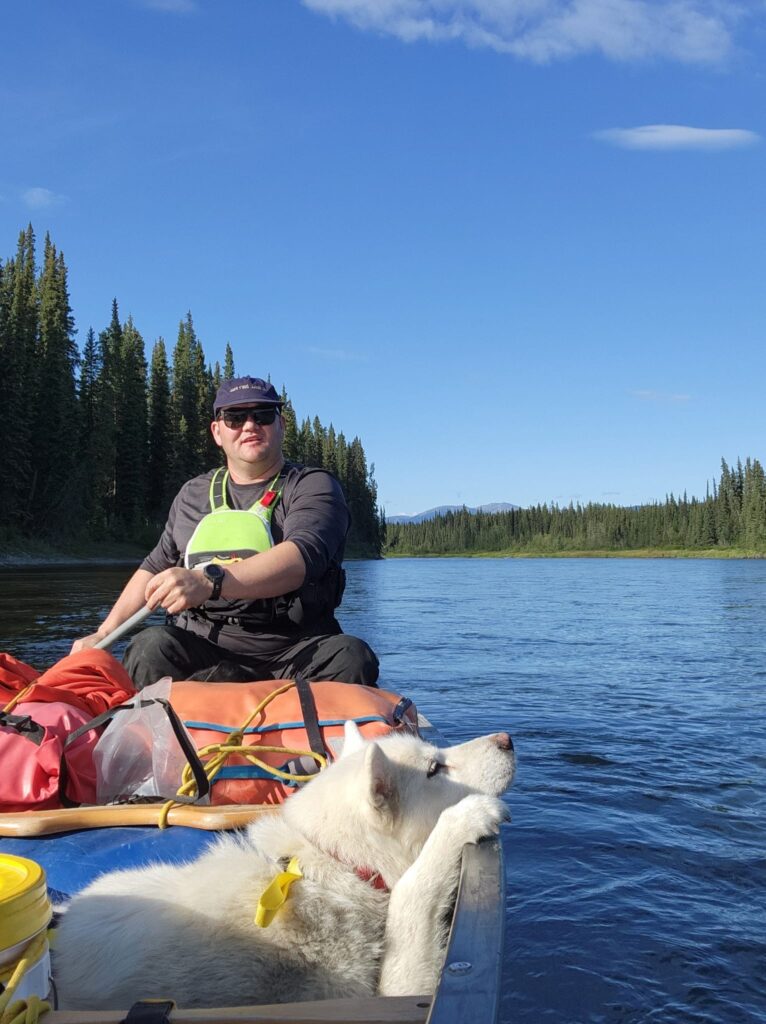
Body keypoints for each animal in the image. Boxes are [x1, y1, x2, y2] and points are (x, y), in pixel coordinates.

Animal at [55, 720, 514, 1007]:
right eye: (435, 767)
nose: (507, 739)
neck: (322, 871)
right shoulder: (375, 992)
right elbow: (413, 893)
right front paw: (465, 818)